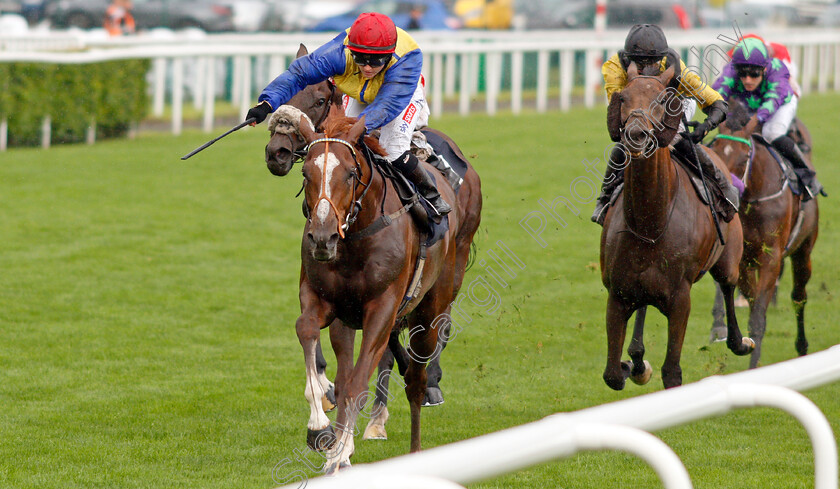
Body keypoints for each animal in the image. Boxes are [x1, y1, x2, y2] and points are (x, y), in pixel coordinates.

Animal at [600, 62, 756, 388]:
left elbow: (672, 371)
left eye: (661, 99)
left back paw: (739, 341)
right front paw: (631, 365)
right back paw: (636, 359)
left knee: (728, 285)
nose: (636, 135)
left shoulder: (680, 300)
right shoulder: (617, 295)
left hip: (729, 256)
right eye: (623, 98)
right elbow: (612, 375)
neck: (649, 223)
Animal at [708, 99, 820, 366]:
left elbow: (759, 316)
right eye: (715, 148)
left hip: (804, 250)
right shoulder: (745, 260)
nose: (724, 192)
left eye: (744, 156)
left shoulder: (771, 257)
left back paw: (802, 347)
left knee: (799, 297)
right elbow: (752, 309)